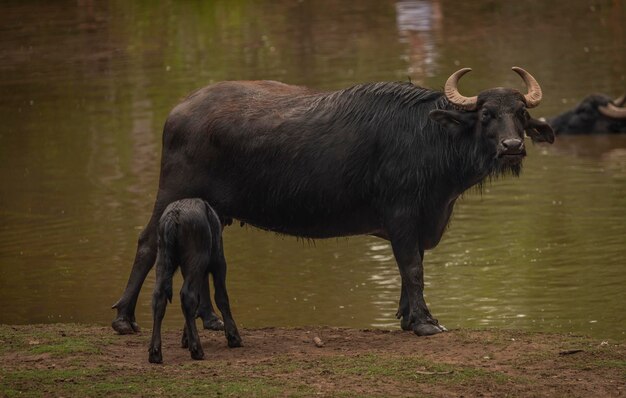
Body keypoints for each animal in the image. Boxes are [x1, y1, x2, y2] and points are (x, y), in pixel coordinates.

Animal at [111, 66, 552, 336]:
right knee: (148, 244)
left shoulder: (420, 220)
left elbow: (411, 269)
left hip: (212, 211)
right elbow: (412, 268)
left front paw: (407, 317)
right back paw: (124, 319)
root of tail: (178, 112)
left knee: (202, 255)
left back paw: (212, 320)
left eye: (520, 115)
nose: (513, 147)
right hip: (172, 193)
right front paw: (425, 322)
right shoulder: (402, 215)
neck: (429, 137)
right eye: (487, 114)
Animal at [149, 199, 241, 364]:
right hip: (198, 259)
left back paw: (155, 353)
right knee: (187, 296)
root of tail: (173, 215)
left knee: (159, 298)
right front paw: (233, 337)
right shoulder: (219, 262)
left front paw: (186, 338)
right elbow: (221, 297)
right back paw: (197, 349)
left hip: (164, 261)